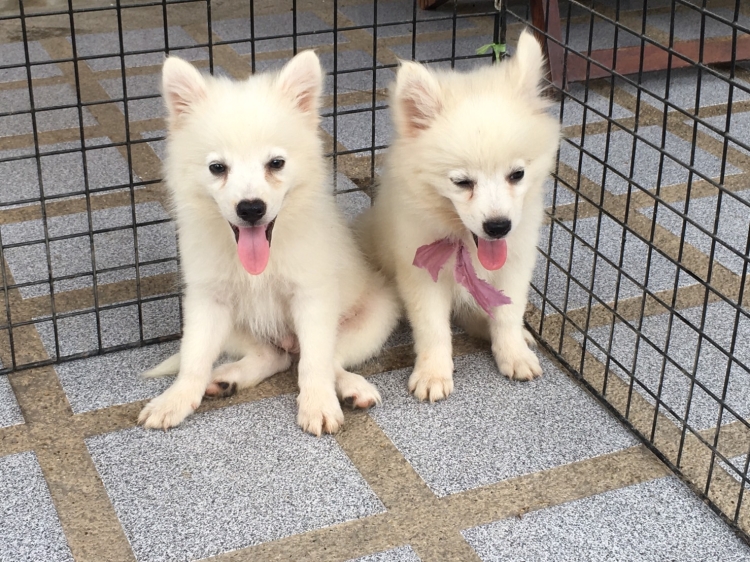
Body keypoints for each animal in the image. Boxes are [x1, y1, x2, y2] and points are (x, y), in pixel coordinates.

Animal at [138, 51, 400, 435]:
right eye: (217, 168)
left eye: (276, 163)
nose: (250, 209)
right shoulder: (208, 300)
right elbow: (194, 358)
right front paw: (175, 400)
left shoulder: (312, 296)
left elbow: (315, 363)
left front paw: (318, 405)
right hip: (237, 326)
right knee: (272, 356)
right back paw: (226, 378)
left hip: (375, 316)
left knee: (326, 359)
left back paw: (352, 388)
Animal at [355, 30, 560, 401]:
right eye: (462, 182)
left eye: (517, 175)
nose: (498, 226)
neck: (466, 242)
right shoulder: (421, 275)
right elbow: (433, 329)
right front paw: (433, 374)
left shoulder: (515, 263)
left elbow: (507, 314)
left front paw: (513, 354)